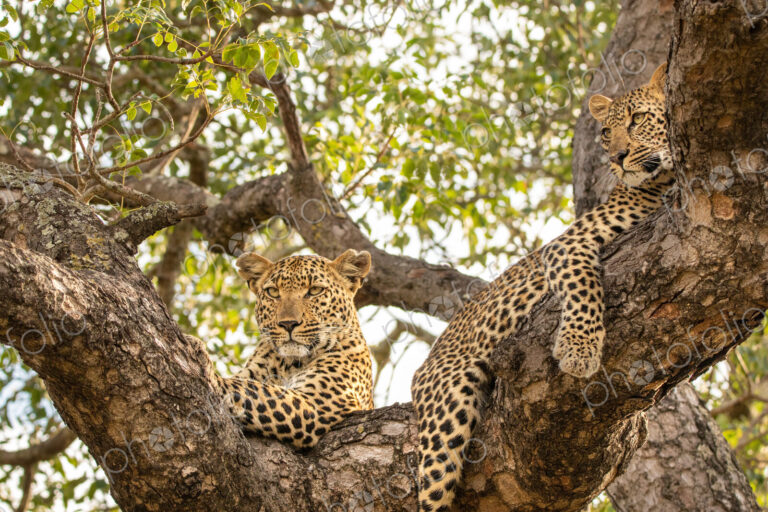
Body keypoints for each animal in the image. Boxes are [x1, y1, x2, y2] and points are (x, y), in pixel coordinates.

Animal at [211, 249, 374, 448]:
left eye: (315, 290)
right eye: (273, 292)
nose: (288, 323)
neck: (288, 363)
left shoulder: (315, 402)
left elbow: (250, 389)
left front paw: (210, 373)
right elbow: (248, 383)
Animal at [411, 63, 675, 511]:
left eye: (638, 119)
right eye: (607, 132)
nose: (617, 158)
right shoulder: (565, 246)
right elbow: (584, 286)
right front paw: (579, 350)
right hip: (447, 401)